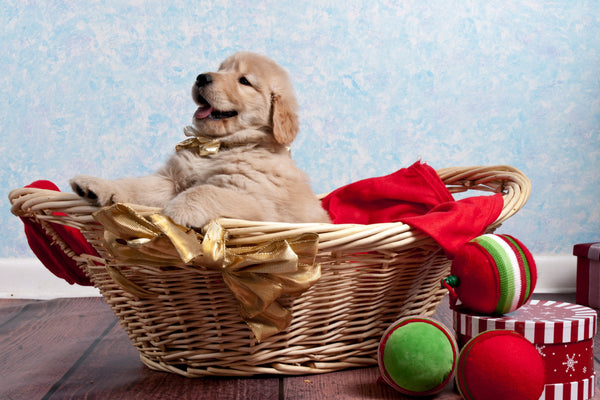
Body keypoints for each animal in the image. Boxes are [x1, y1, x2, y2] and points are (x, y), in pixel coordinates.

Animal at [73, 52, 332, 228]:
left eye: (244, 81)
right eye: (222, 68)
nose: (201, 77)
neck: (217, 145)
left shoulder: (254, 202)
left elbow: (204, 190)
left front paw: (176, 210)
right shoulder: (171, 180)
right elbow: (136, 184)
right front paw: (96, 185)